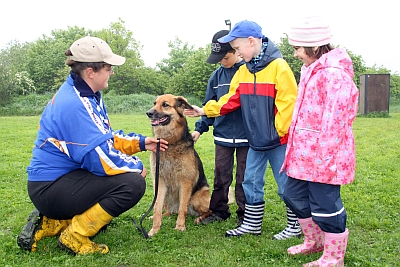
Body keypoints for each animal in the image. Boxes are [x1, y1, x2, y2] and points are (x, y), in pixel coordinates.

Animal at [145, 95, 212, 238]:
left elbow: (182, 208)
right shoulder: (160, 181)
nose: (148, 113)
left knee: (207, 210)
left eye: (165, 104)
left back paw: (200, 218)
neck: (170, 142)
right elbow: (157, 207)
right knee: (168, 211)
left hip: (196, 198)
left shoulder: (185, 182)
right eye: (154, 103)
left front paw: (180, 226)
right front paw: (154, 229)